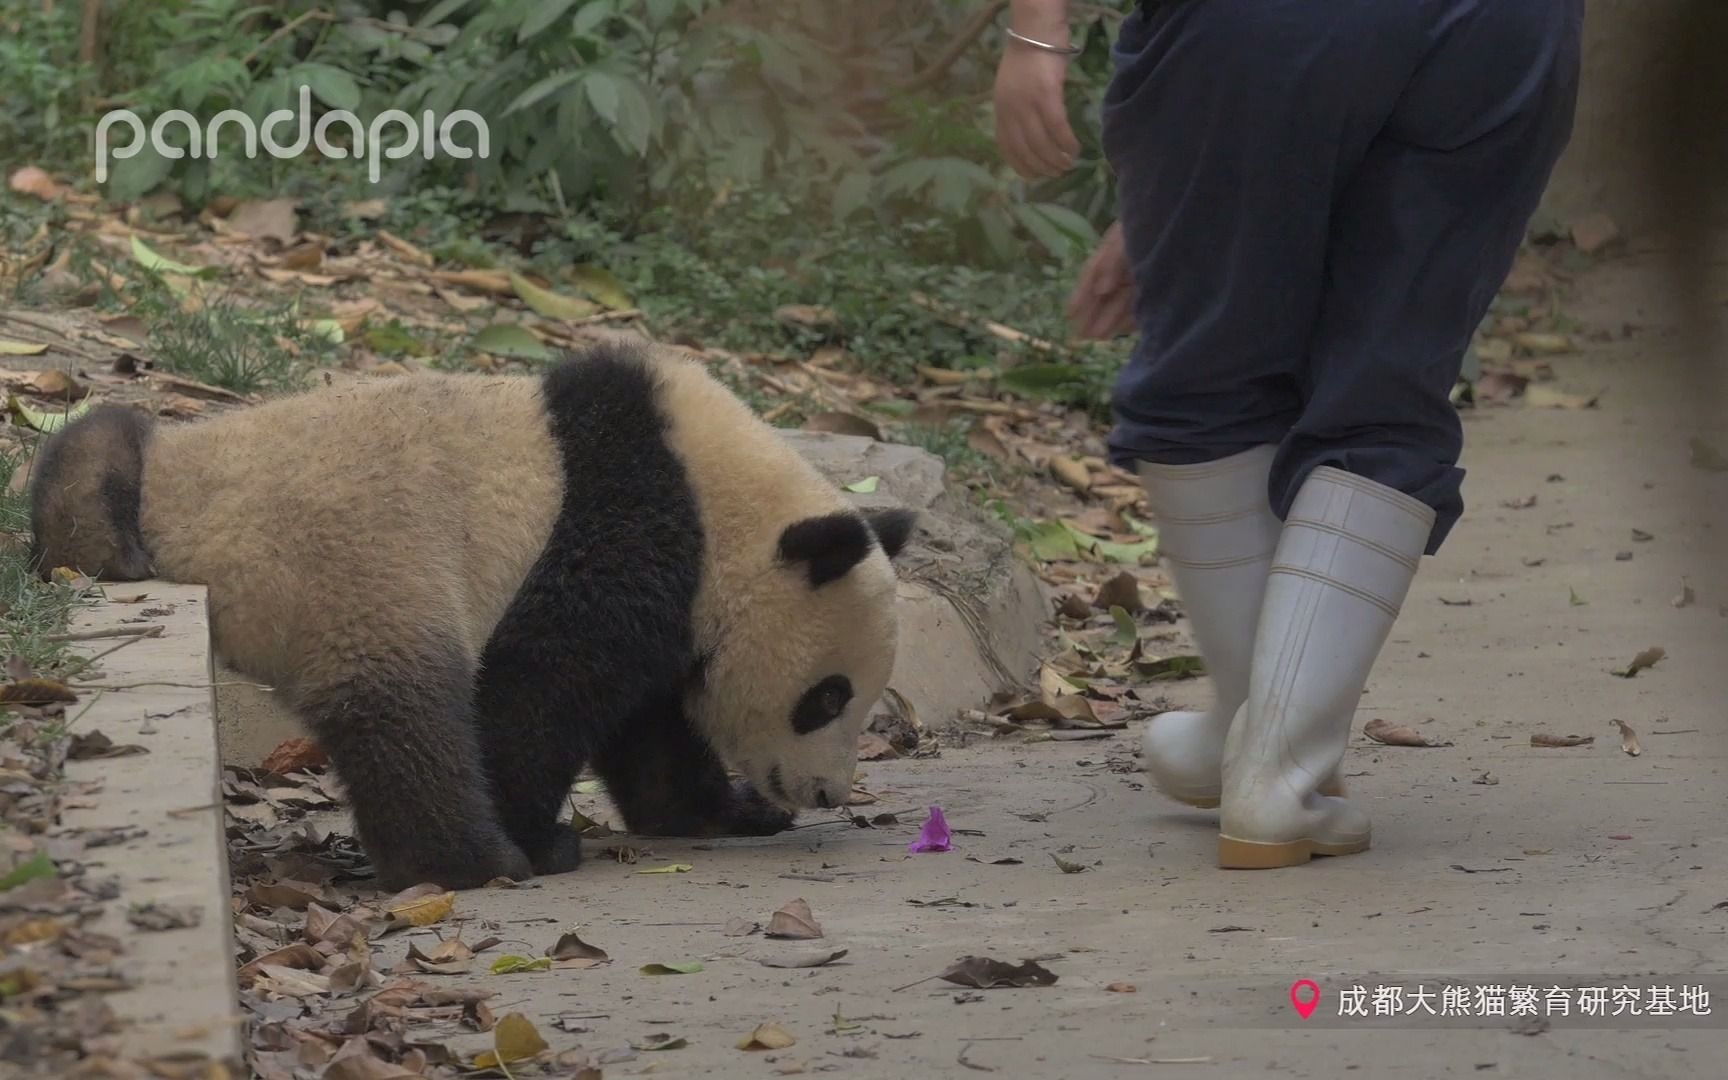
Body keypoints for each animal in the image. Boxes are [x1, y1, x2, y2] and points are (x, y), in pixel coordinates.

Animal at [30, 340, 919, 891]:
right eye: (826, 698)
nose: (825, 792)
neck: (723, 501)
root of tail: (173, 524)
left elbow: (650, 726)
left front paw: (728, 811)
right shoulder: (627, 527)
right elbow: (542, 685)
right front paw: (538, 832)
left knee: (93, 441)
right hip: (357, 568)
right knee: (409, 717)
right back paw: (477, 860)